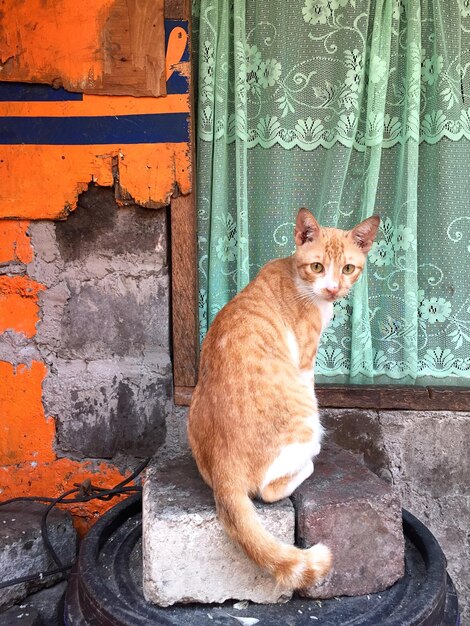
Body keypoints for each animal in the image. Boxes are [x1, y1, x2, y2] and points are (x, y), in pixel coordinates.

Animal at [186, 208, 378, 588]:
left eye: (348, 268)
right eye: (318, 266)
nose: (333, 288)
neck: (297, 277)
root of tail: (224, 464)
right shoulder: (305, 362)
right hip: (306, 424)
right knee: (268, 489)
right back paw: (308, 464)